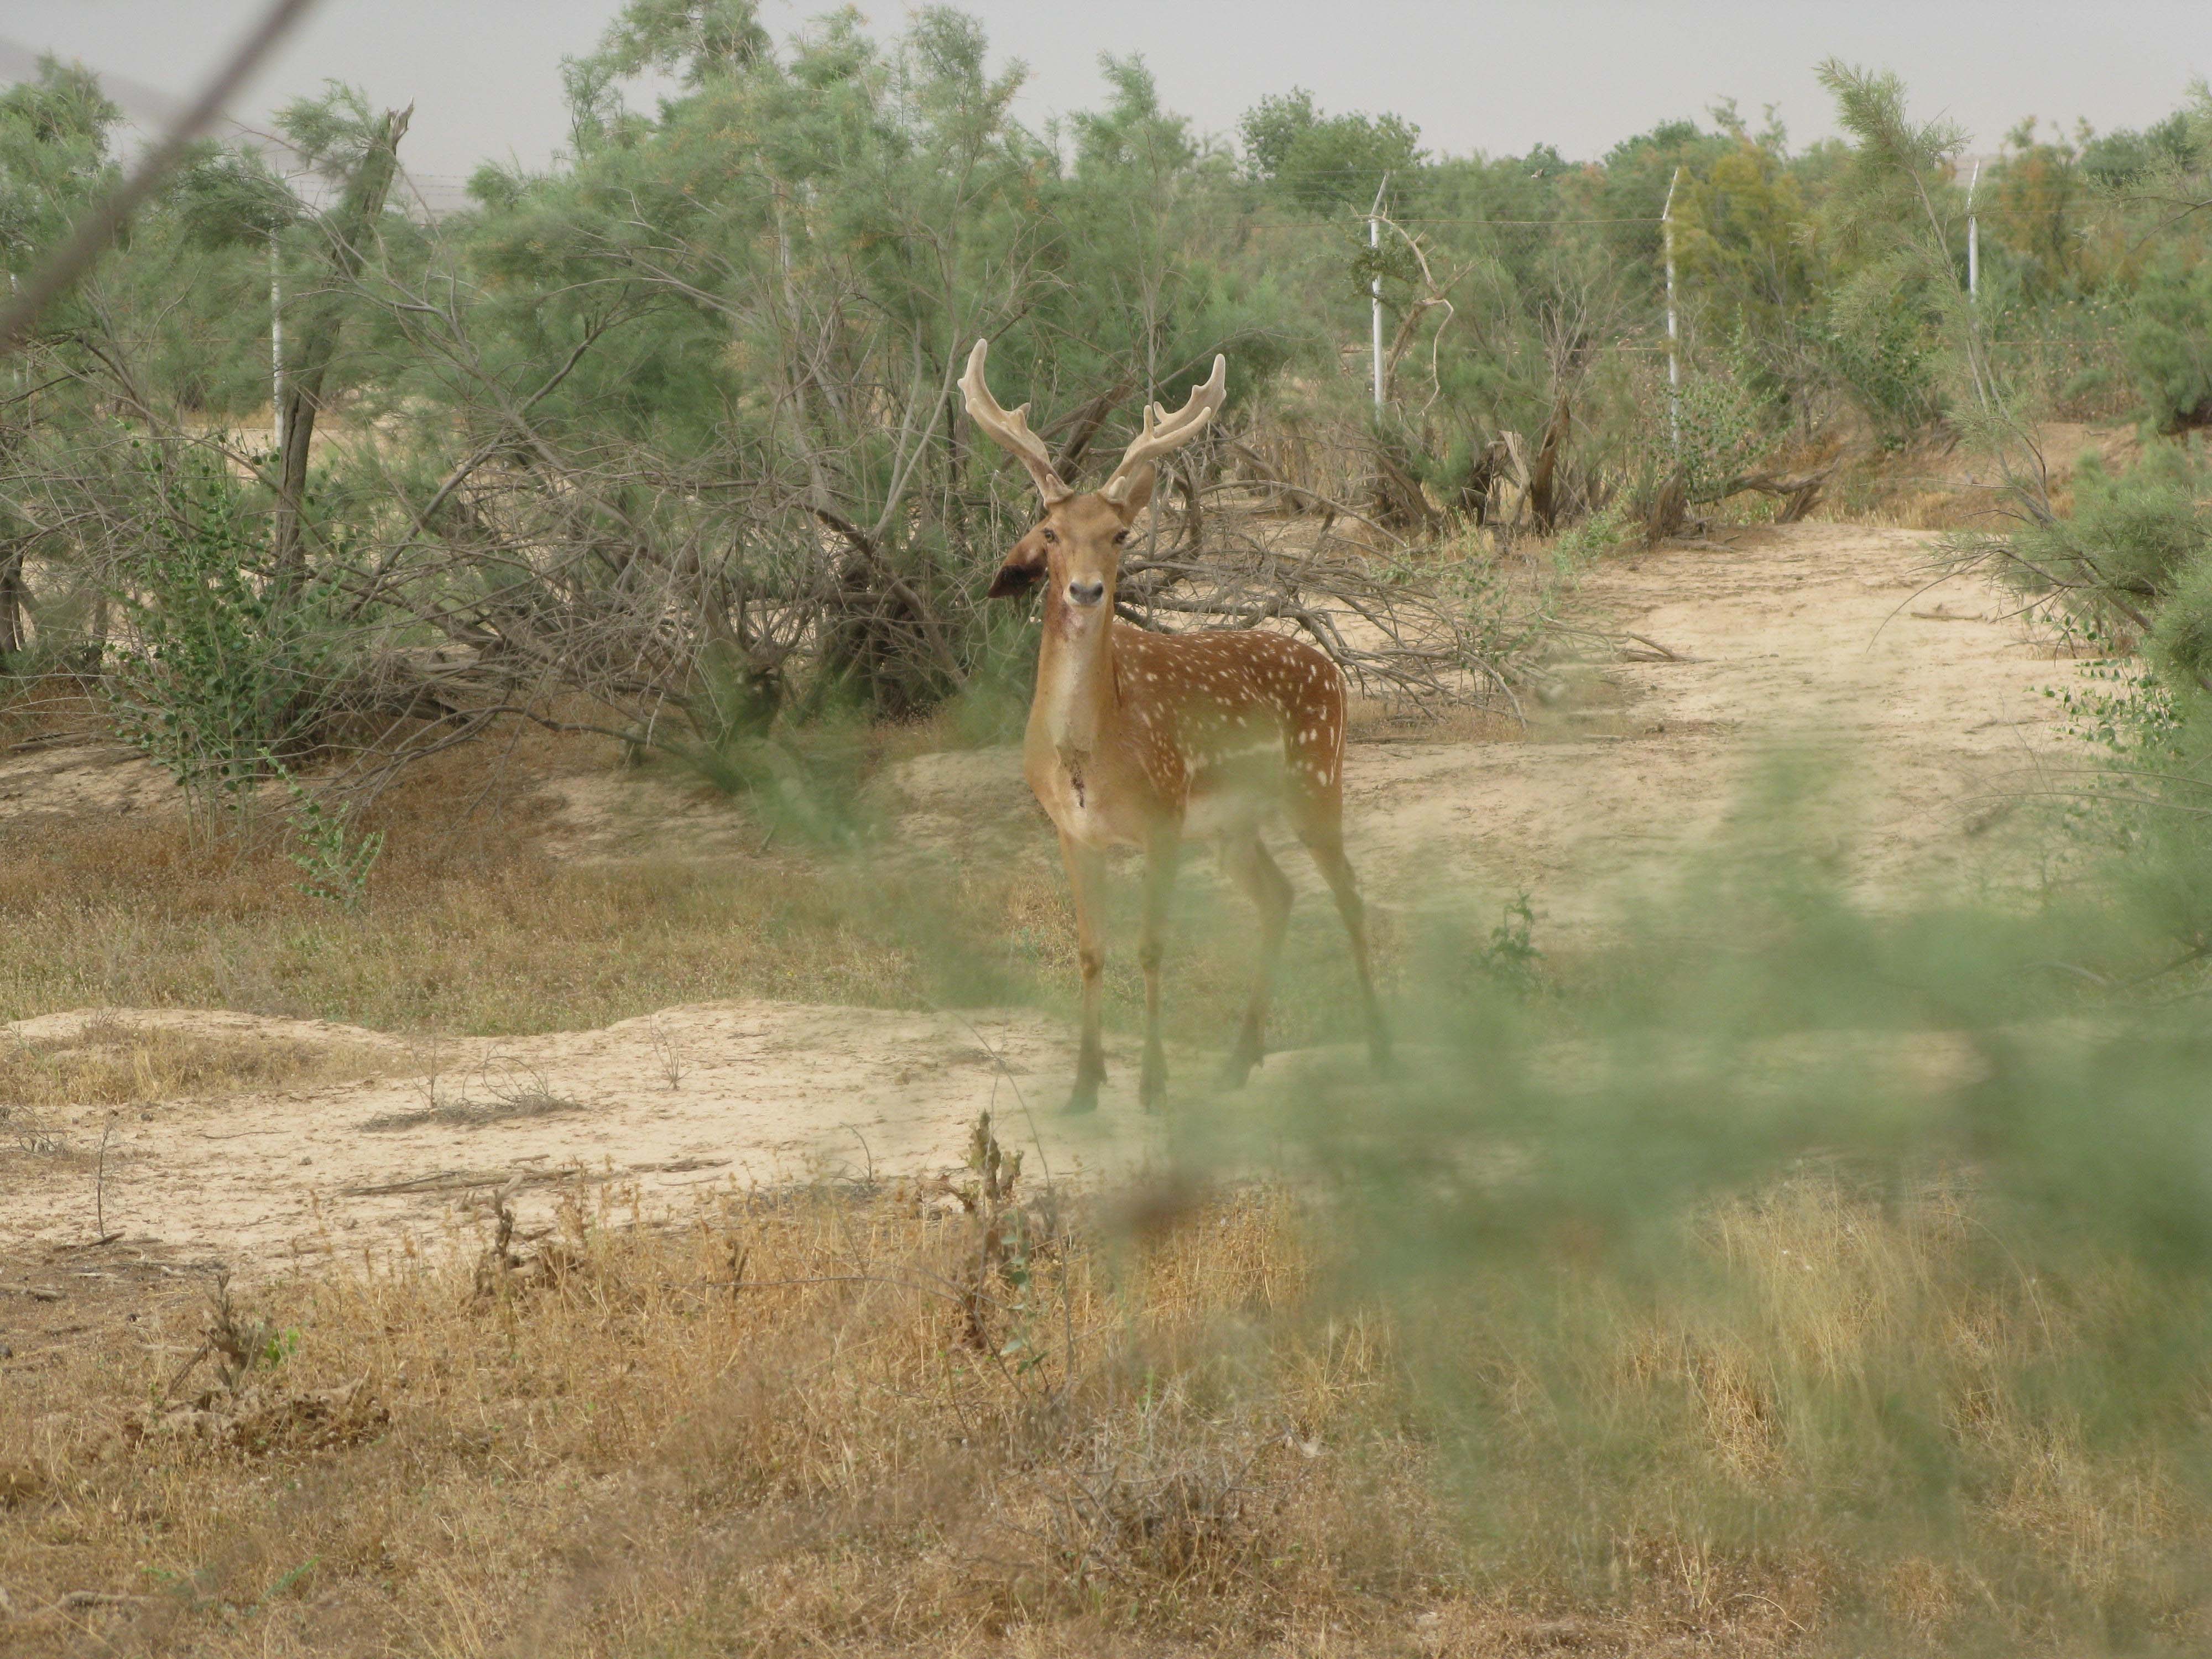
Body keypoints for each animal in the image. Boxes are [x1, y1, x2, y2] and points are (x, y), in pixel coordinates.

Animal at [964, 338, 1389, 1119]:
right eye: (1050, 532)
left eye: (1119, 533)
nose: (1087, 590)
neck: (1089, 752)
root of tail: (1332, 669)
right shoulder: (1072, 831)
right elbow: (1090, 950)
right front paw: (1083, 1088)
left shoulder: (1162, 817)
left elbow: (1151, 947)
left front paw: (1153, 1086)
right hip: (1233, 825)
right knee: (1281, 897)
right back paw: (1239, 1060)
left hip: (1316, 782)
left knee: (1348, 893)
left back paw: (1381, 1048)